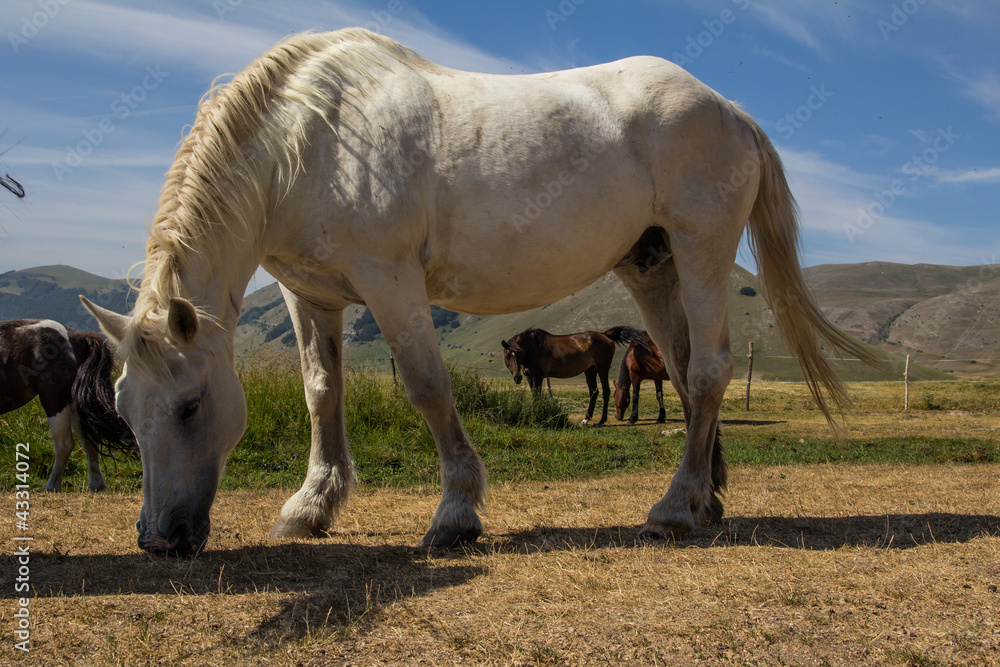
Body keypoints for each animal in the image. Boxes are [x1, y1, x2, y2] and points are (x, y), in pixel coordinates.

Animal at [0, 319, 133, 491]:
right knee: (89, 442)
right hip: (75, 403)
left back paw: (52, 486)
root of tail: (77, 337)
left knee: (64, 445)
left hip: (54, 399)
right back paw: (97, 485)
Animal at [501, 326, 641, 425]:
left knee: (605, 391)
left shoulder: (538, 377)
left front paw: (536, 415)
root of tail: (605, 335)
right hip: (590, 370)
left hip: (602, 369)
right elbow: (534, 395)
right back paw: (586, 419)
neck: (533, 348)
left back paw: (602, 420)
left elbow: (537, 396)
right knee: (593, 392)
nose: (517, 377)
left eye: (518, 354)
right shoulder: (530, 377)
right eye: (507, 356)